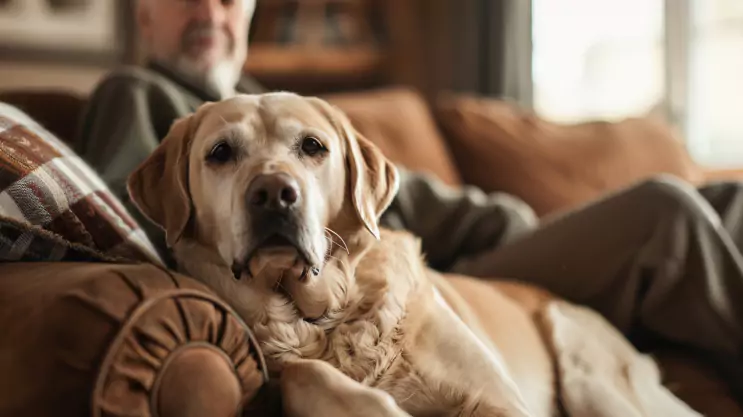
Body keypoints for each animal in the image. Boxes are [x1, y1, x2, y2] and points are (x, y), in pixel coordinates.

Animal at [126, 93, 704, 416]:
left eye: (312, 146)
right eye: (221, 153)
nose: (273, 193)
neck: (329, 318)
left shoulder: (498, 401)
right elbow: (305, 374)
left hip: (591, 379)